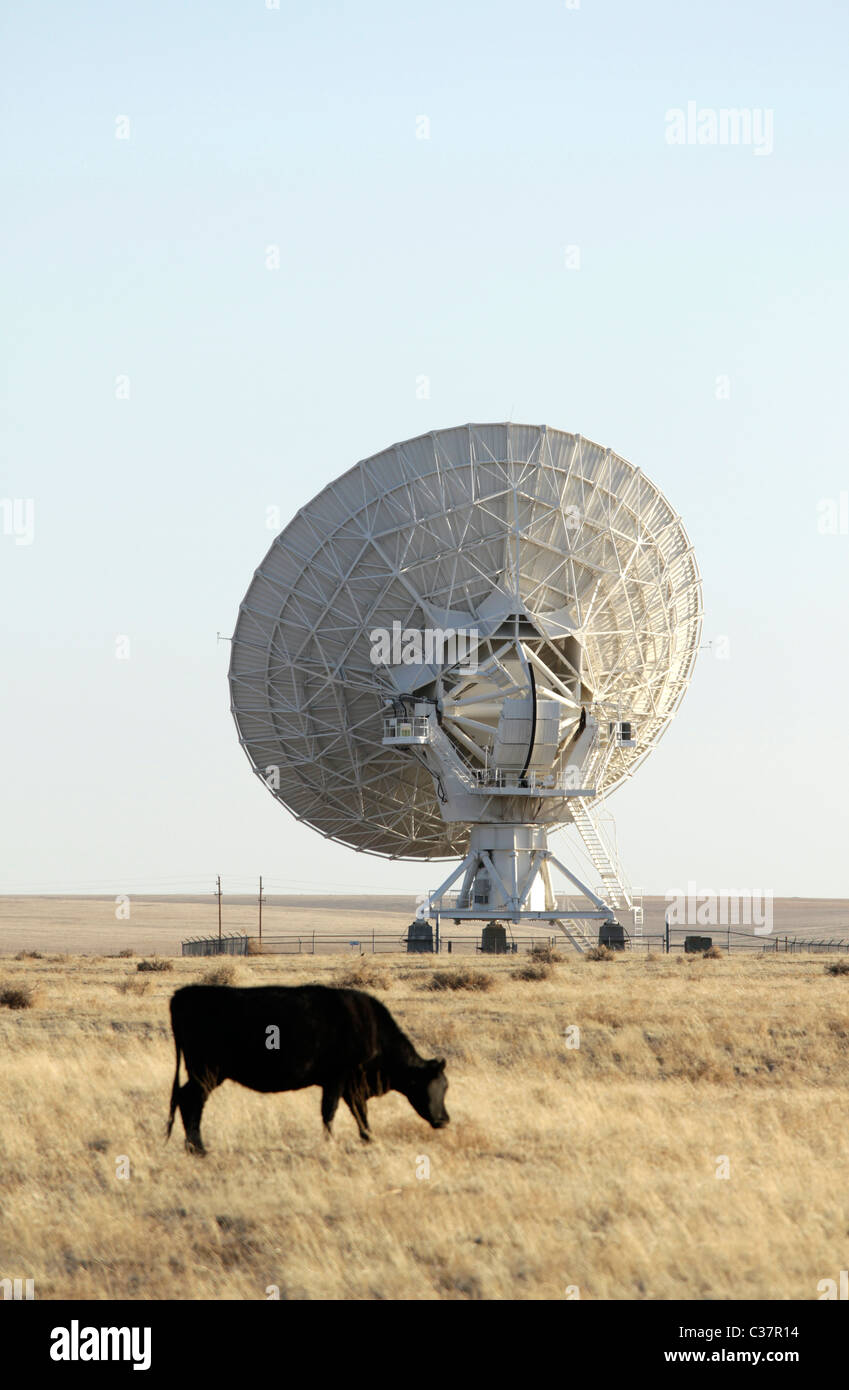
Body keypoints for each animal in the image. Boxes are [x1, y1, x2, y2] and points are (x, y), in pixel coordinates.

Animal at [162, 984, 447, 1156]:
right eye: (434, 1086)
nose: (445, 1119)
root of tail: (183, 994)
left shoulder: (349, 1085)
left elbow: (359, 1112)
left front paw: (368, 1138)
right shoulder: (338, 1079)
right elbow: (330, 1112)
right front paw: (330, 1142)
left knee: (185, 1100)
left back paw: (193, 1147)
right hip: (207, 1072)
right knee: (191, 1101)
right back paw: (198, 1148)